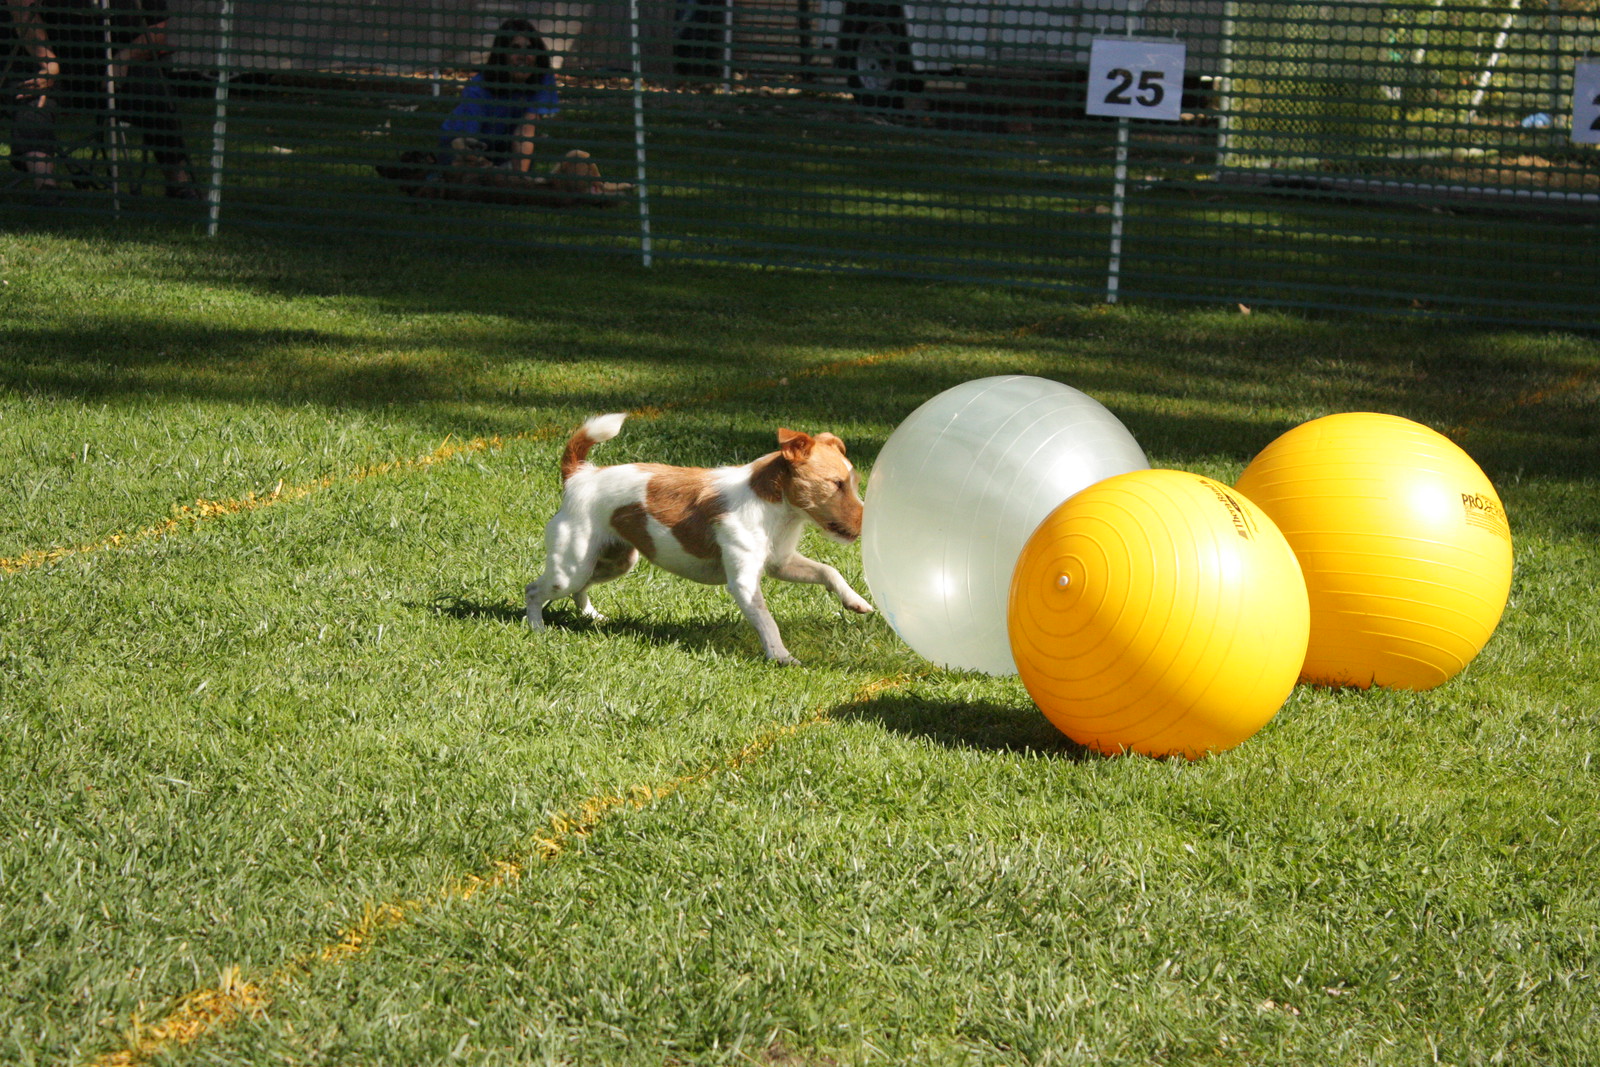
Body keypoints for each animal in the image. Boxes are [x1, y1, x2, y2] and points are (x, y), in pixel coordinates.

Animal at [524, 412, 876, 662]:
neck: (778, 510)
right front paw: (781, 656)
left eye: (854, 482)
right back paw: (537, 629)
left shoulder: (781, 563)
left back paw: (592, 616)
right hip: (570, 566)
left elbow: (829, 571)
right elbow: (767, 621)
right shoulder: (744, 582)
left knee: (580, 588)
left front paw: (855, 601)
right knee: (534, 590)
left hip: (616, 560)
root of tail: (579, 476)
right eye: (836, 484)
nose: (866, 524)